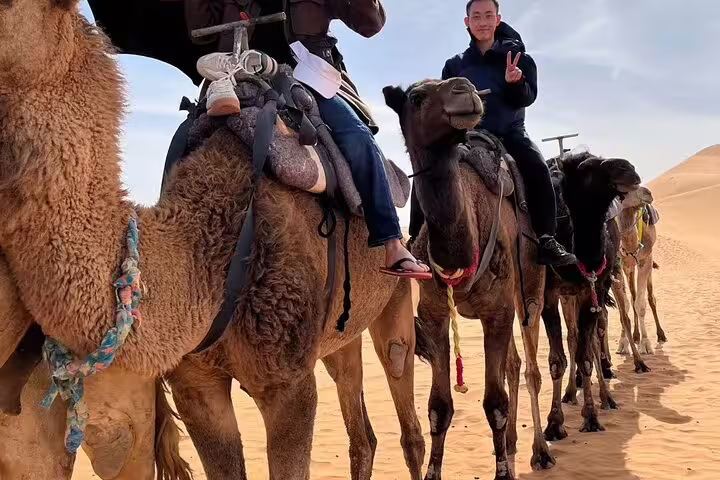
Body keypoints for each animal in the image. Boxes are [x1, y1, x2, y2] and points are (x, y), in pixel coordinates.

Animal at [0, 1, 425, 478]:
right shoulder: (196, 384)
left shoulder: (289, 384)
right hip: (341, 332)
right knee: (361, 426)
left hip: (394, 296)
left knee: (403, 390)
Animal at [384, 77, 552, 480]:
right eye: (416, 97)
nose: (465, 89)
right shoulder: (433, 314)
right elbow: (439, 406)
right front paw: (434, 473)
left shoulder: (499, 310)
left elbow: (495, 403)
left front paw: (503, 473)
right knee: (514, 366)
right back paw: (512, 447)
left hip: (529, 289)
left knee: (531, 369)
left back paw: (540, 451)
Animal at [541, 152, 641, 440]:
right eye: (586, 168)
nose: (629, 168)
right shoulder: (549, 294)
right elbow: (557, 359)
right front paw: (554, 423)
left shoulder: (592, 289)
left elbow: (586, 355)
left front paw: (592, 416)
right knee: (576, 337)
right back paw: (571, 393)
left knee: (596, 334)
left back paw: (607, 397)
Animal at [615, 186, 666, 355]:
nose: (648, 193)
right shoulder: (617, 265)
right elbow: (623, 307)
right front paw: (623, 343)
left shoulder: (645, 260)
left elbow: (641, 304)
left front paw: (645, 343)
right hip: (628, 268)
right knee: (632, 296)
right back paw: (635, 336)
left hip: (647, 262)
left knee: (650, 298)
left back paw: (660, 335)